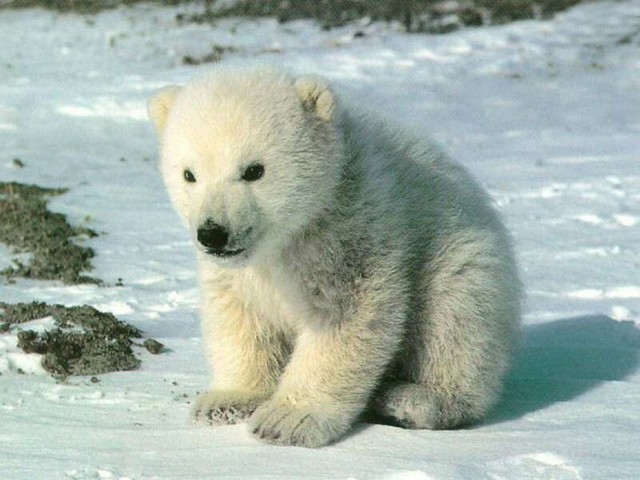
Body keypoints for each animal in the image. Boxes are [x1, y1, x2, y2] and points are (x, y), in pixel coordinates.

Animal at [148, 65, 521, 448]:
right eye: (189, 174)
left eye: (254, 170)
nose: (213, 233)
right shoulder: (241, 271)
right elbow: (240, 315)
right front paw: (225, 402)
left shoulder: (351, 227)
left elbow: (345, 316)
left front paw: (287, 419)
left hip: (461, 253)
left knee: (455, 319)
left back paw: (413, 399)